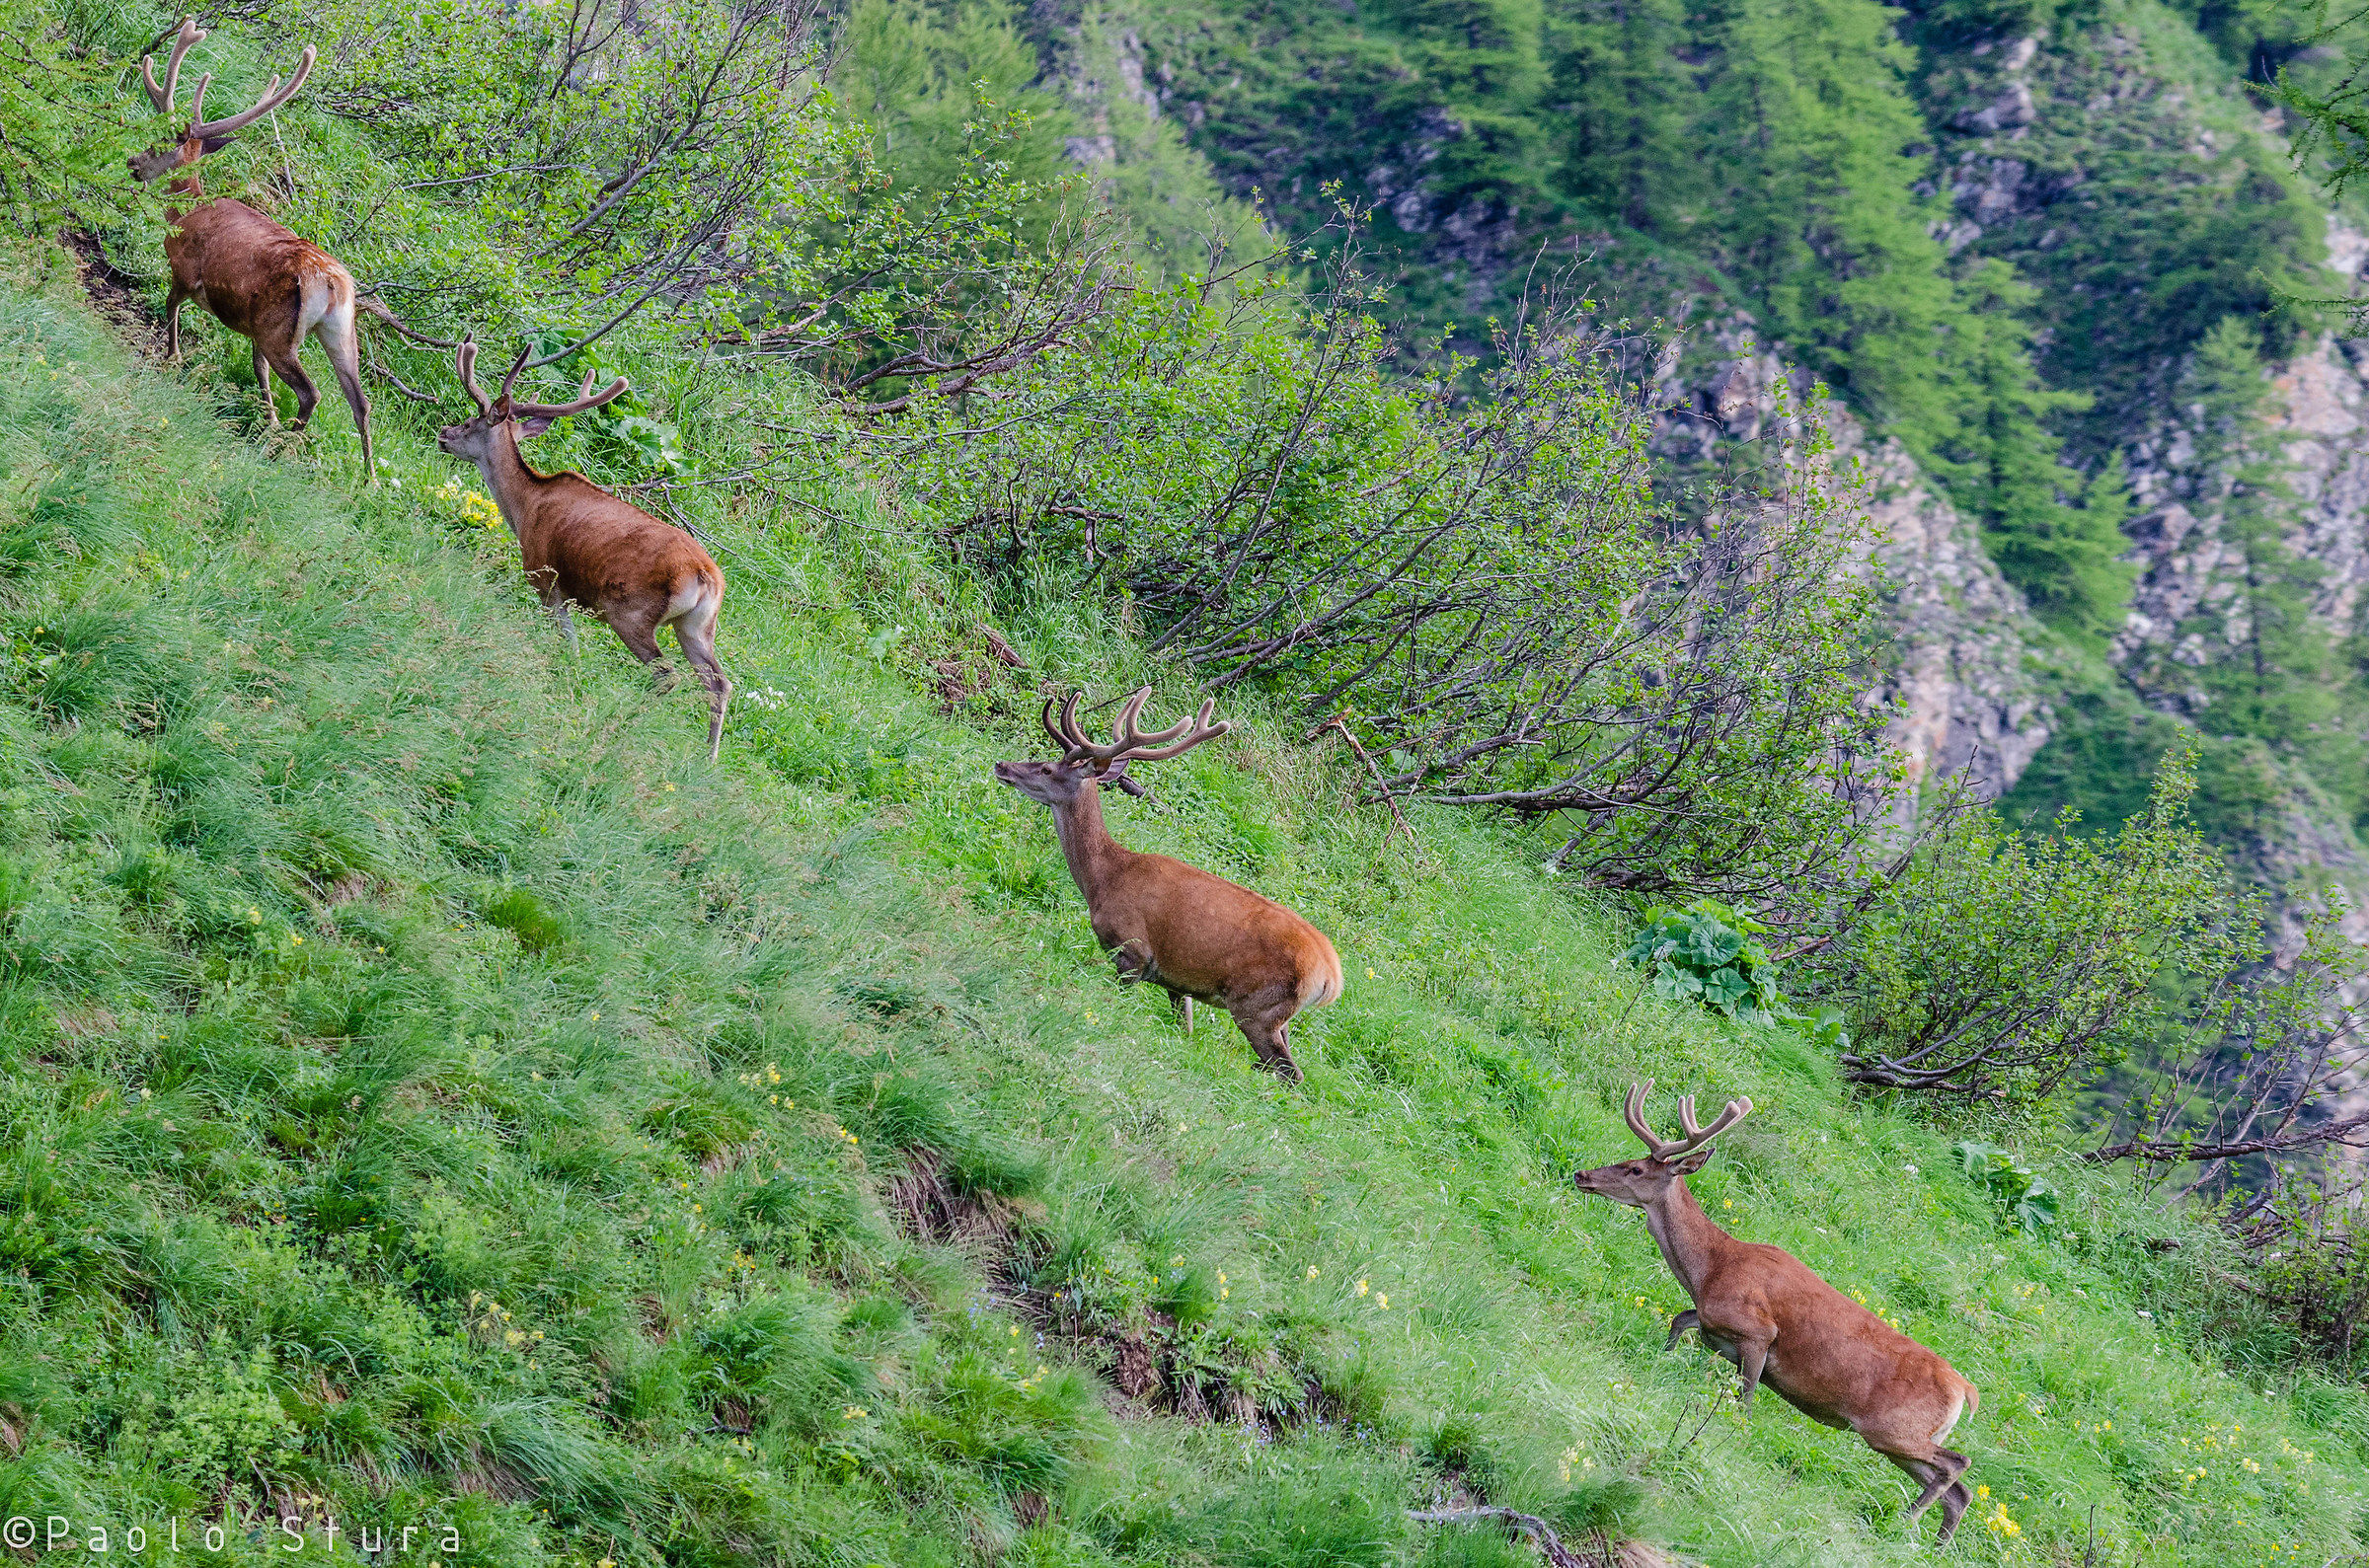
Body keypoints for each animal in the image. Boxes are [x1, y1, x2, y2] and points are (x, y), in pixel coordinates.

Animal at [128, 19, 392, 479]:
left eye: (158, 144)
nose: (132, 164)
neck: (183, 212)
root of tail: (332, 284)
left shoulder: (185, 269)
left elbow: (171, 307)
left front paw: (171, 358)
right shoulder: (251, 324)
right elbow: (258, 370)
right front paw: (265, 415)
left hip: (279, 329)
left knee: (311, 393)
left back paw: (284, 444)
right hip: (339, 331)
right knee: (360, 401)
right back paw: (369, 478)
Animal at [438, 339, 732, 760]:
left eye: (468, 423)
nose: (444, 433)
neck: (524, 508)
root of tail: (707, 577)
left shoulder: (546, 579)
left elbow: (569, 644)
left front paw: (565, 682)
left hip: (630, 612)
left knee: (666, 674)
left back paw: (624, 725)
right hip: (696, 626)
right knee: (718, 684)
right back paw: (707, 759)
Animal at [993, 689, 1343, 1081]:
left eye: (1047, 769)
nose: (1002, 765)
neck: (1104, 879)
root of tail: (1331, 978)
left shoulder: (1133, 951)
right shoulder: (1178, 983)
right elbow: (1185, 1028)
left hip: (1256, 1008)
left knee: (1290, 1072)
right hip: (1279, 1018)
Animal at [1574, 1083, 1981, 1546]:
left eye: (1636, 1169)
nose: (1582, 1175)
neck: (1710, 1268)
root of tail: (1966, 1390)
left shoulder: (1759, 1333)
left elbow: (1745, 1400)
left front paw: (1731, 1437)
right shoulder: (1713, 1322)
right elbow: (1680, 1319)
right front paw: (1658, 1361)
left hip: (1894, 1429)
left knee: (1957, 1465)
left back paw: (1907, 1521)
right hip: (1897, 1441)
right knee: (1960, 1492)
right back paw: (1929, 1543)